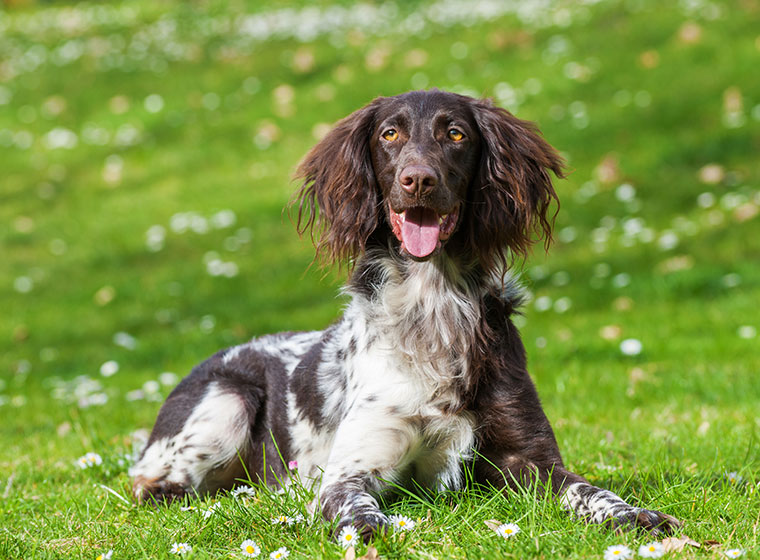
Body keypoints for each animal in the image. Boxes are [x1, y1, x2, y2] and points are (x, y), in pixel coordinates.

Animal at [127, 88, 680, 540]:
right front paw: (368, 527)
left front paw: (635, 514)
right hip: (228, 400)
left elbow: (592, 491)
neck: (432, 306)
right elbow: (354, 506)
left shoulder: (529, 459)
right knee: (152, 484)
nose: (418, 180)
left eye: (456, 134)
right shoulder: (351, 468)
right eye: (389, 134)